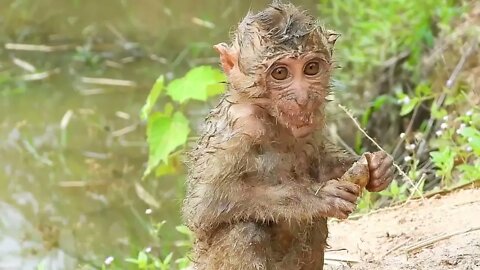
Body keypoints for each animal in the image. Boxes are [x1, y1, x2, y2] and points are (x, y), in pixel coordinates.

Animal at [184, 2, 394, 270]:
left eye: (311, 68)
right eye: (280, 73)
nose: (302, 98)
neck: (268, 114)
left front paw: (378, 168)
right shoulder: (239, 129)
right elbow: (204, 205)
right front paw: (317, 198)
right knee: (244, 230)